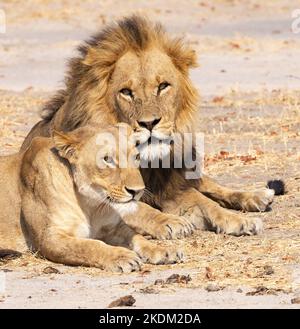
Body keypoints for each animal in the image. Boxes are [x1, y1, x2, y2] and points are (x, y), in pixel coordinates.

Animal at [0, 124, 183, 270]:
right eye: (107, 159)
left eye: (136, 157)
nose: (137, 191)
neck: (91, 204)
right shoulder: (49, 239)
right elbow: (89, 245)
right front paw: (121, 256)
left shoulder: (113, 227)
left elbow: (137, 238)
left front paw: (163, 250)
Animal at [21, 16, 278, 236]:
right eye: (126, 92)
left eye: (163, 86)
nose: (149, 123)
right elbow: (139, 207)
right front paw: (171, 221)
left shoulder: (170, 188)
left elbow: (206, 202)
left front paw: (239, 220)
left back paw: (257, 195)